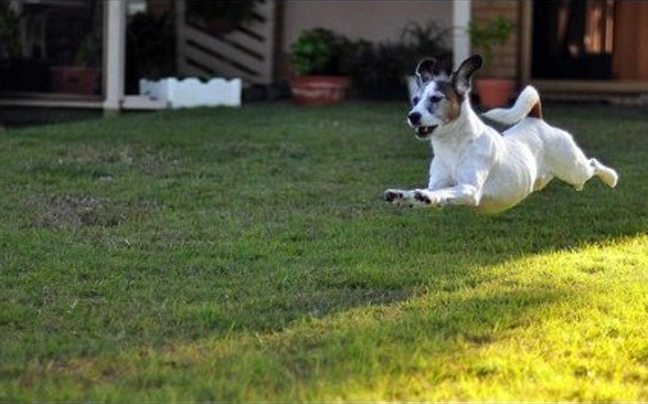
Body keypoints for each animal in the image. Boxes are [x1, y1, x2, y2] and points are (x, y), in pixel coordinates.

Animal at [384, 55, 616, 216]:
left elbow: (444, 192)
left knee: (592, 165)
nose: (413, 116)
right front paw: (402, 195)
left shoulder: (469, 190)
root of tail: (536, 119)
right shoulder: (439, 182)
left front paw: (425, 195)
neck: (454, 146)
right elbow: (430, 193)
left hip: (572, 168)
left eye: (435, 98)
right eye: (415, 100)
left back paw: (611, 178)